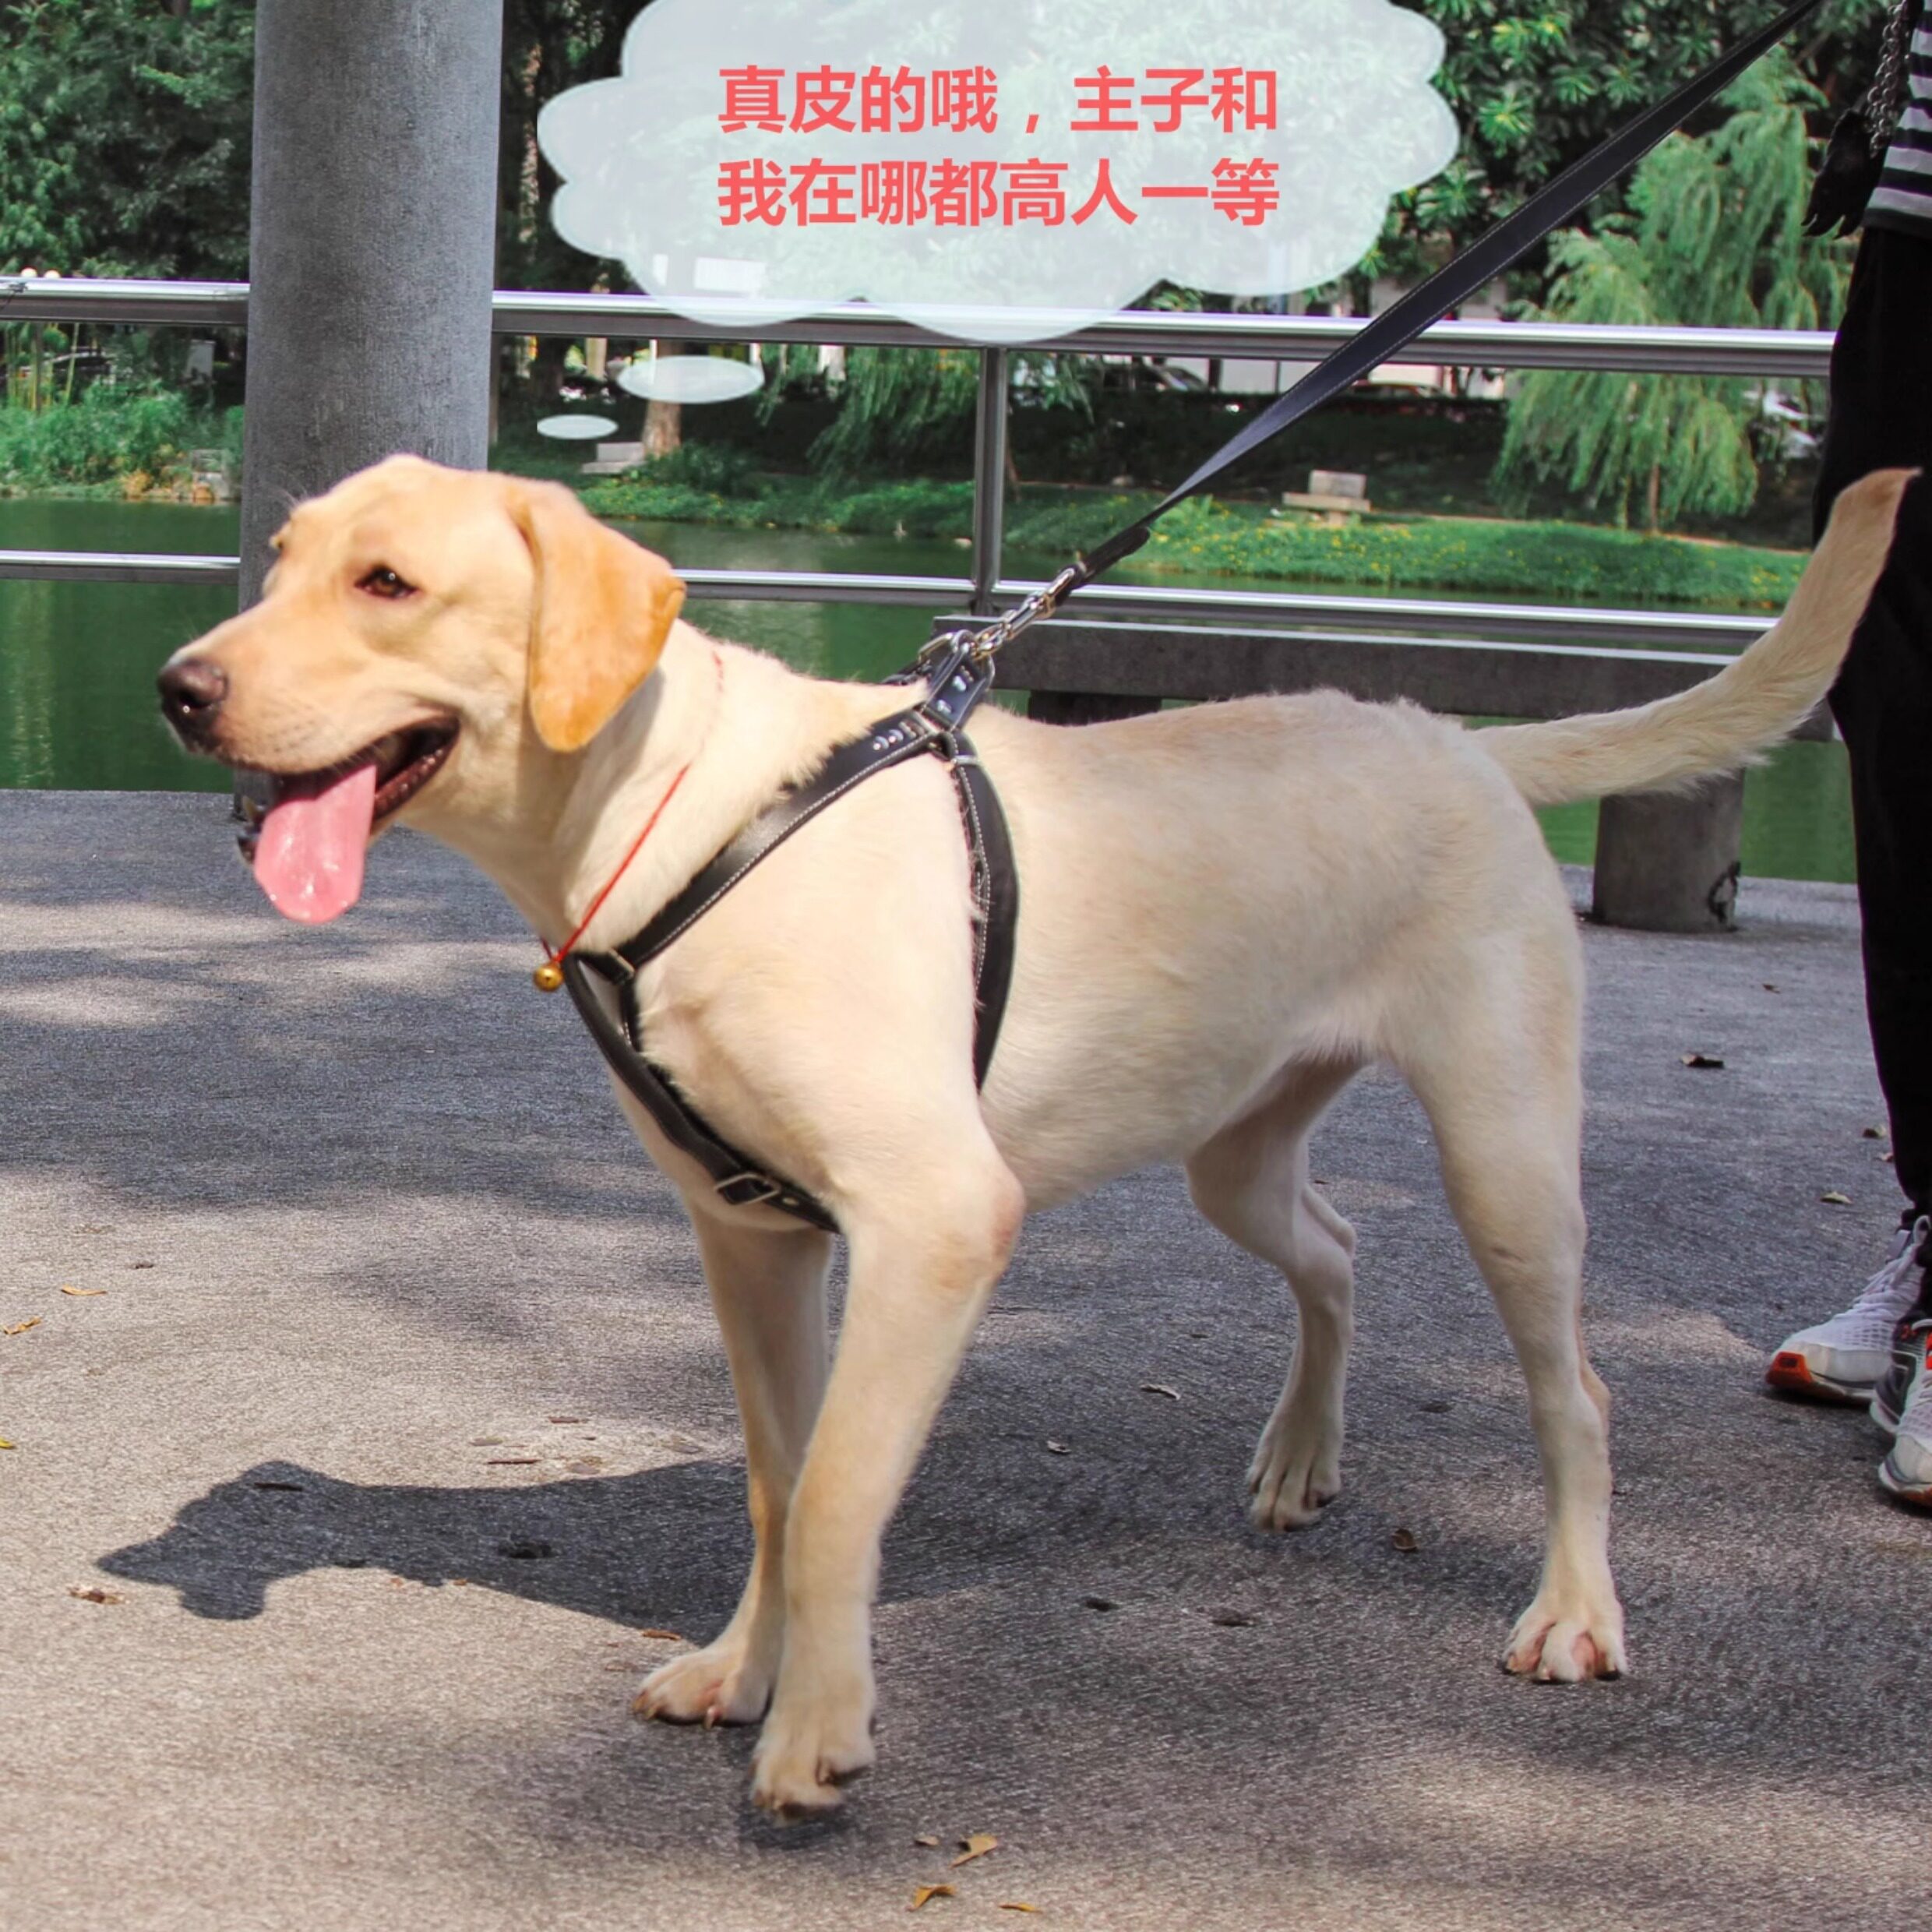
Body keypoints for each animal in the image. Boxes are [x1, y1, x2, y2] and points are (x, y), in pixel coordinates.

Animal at [158, 454, 1910, 1813]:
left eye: (388, 581)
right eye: (280, 560)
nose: (181, 688)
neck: (690, 818)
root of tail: (1458, 738)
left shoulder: (933, 1224)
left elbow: (841, 1491)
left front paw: (819, 1730)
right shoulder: (750, 1238)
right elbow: (777, 1486)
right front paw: (742, 1668)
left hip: (1505, 1154)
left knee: (1577, 1392)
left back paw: (1573, 1611)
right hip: (1231, 1151)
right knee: (1335, 1252)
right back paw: (1301, 1454)